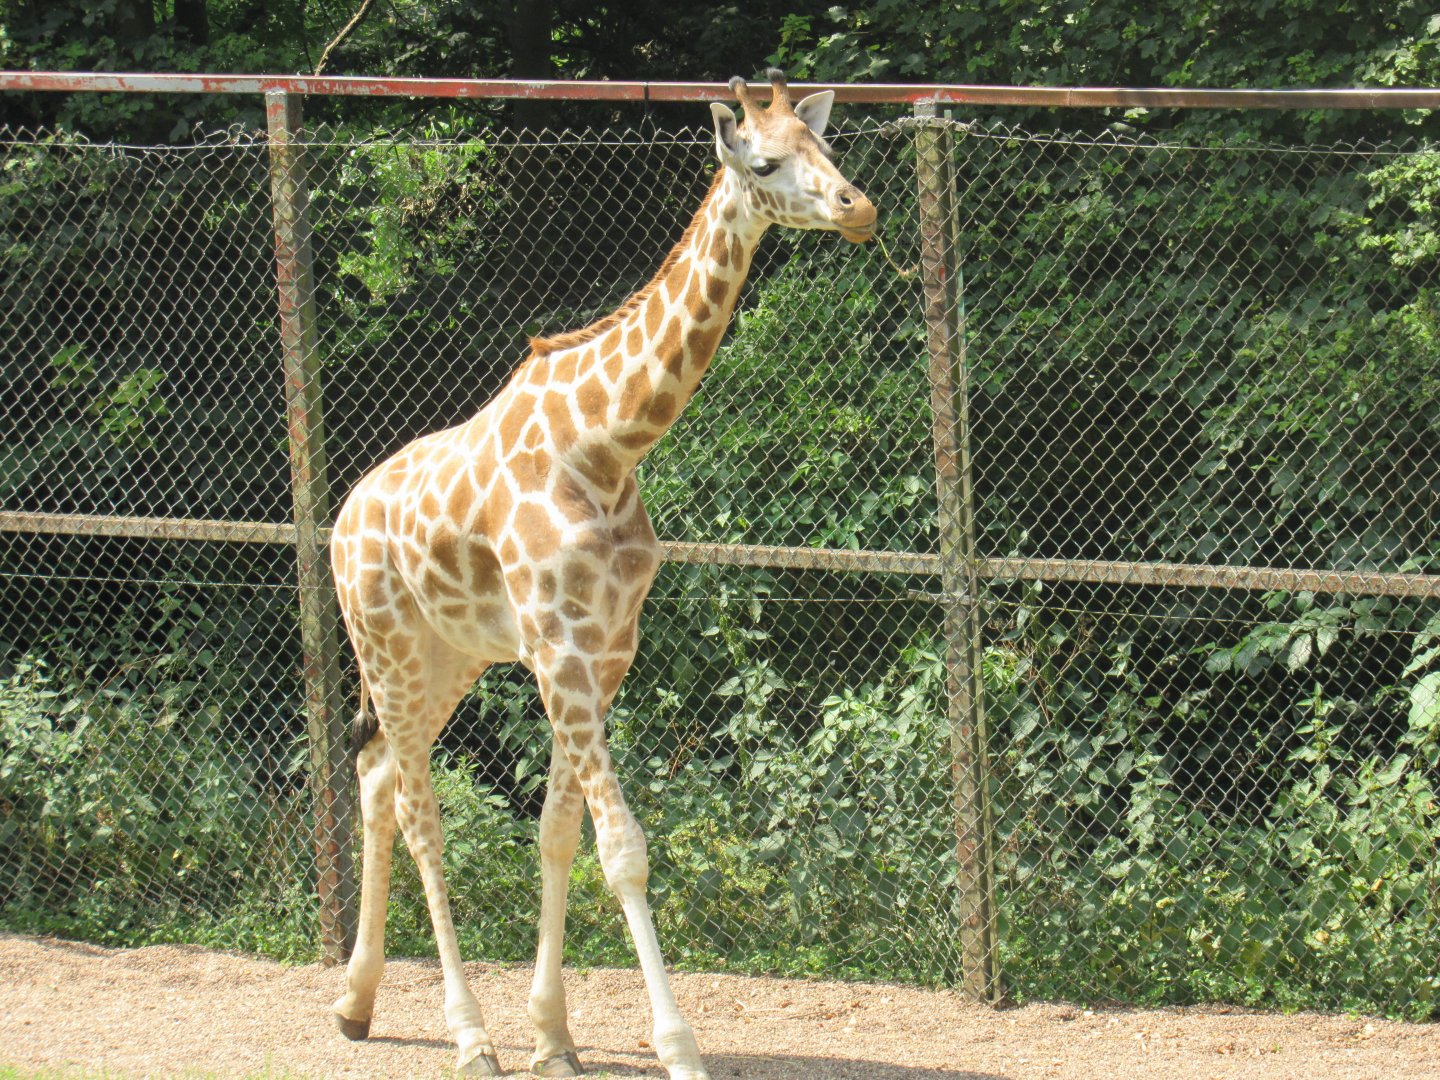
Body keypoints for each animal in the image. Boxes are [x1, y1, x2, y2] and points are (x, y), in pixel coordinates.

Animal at [326, 68, 876, 1079]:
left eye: (829, 148)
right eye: (766, 163)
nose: (860, 209)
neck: (608, 446)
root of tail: (342, 518)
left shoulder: (606, 647)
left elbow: (558, 834)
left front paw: (553, 1034)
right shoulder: (559, 649)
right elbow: (622, 847)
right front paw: (678, 1046)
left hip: (444, 658)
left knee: (380, 775)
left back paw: (356, 1001)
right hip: (385, 647)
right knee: (422, 815)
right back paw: (468, 1035)